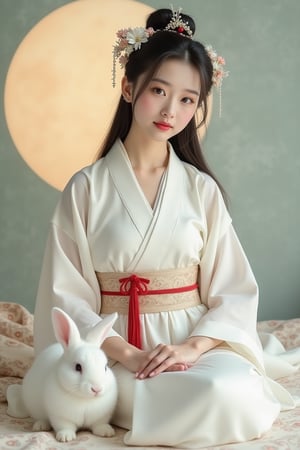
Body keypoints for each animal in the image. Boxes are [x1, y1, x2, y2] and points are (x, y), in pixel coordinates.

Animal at [6, 308, 118, 442]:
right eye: (78, 367)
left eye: (105, 367)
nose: (97, 389)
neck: (85, 399)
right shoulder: (60, 416)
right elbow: (65, 426)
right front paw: (65, 437)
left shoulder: (102, 416)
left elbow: (99, 424)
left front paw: (107, 432)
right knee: (41, 418)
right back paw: (40, 426)